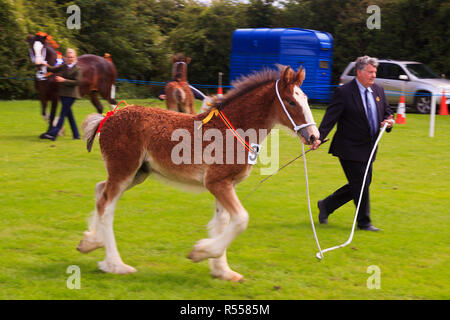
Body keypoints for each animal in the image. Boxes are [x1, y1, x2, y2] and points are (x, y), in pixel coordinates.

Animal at [79, 66, 318, 282]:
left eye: (305, 99)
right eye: (290, 101)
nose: (314, 136)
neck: (234, 129)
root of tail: (108, 117)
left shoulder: (227, 184)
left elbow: (222, 222)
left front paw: (222, 271)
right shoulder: (216, 182)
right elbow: (241, 219)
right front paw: (200, 252)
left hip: (138, 173)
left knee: (100, 190)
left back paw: (91, 242)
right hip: (124, 169)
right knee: (106, 205)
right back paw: (115, 265)